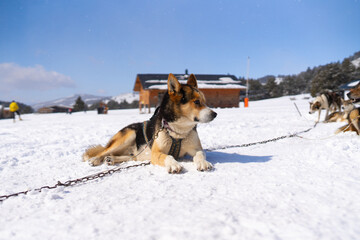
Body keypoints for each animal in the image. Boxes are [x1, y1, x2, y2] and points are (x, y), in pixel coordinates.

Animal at [82, 72, 217, 172]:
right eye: (196, 102)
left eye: (204, 102)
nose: (215, 114)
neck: (179, 132)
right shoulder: (156, 153)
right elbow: (168, 156)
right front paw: (173, 164)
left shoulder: (196, 148)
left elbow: (200, 154)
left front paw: (203, 162)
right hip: (128, 136)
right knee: (103, 151)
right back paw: (95, 159)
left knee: (131, 157)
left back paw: (111, 159)